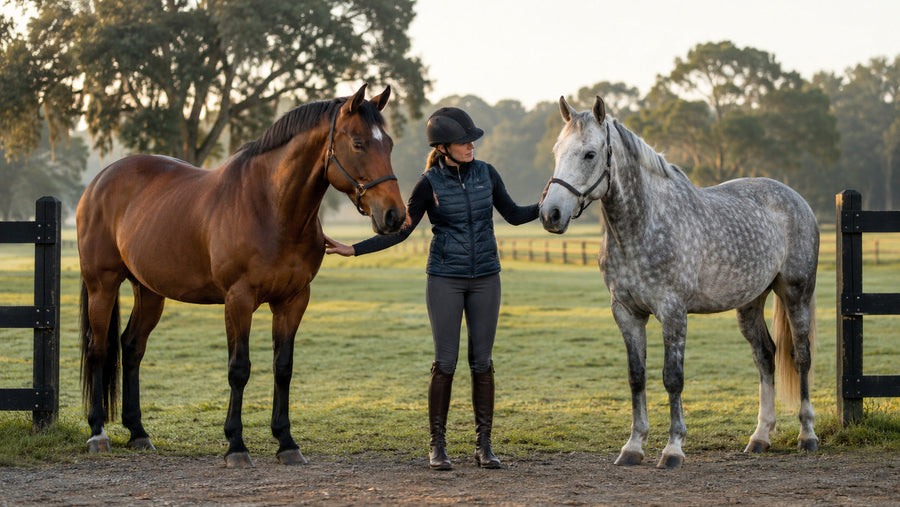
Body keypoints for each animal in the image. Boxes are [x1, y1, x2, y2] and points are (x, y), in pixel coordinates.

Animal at [76, 84, 406, 468]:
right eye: (358, 143)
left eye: (389, 144)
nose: (395, 215)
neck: (270, 208)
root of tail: (100, 181)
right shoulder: (239, 299)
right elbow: (240, 368)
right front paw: (236, 445)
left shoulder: (293, 300)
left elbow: (283, 367)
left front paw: (286, 441)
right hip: (103, 285)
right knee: (99, 349)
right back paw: (98, 433)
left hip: (149, 291)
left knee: (131, 347)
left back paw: (138, 432)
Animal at [540, 96, 819, 469]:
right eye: (557, 151)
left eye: (589, 154)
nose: (550, 214)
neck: (643, 225)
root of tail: (796, 198)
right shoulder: (626, 312)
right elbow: (637, 377)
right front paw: (633, 446)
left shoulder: (673, 312)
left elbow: (672, 378)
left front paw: (673, 449)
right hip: (750, 302)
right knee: (765, 356)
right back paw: (760, 437)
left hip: (796, 292)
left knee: (801, 357)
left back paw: (807, 434)